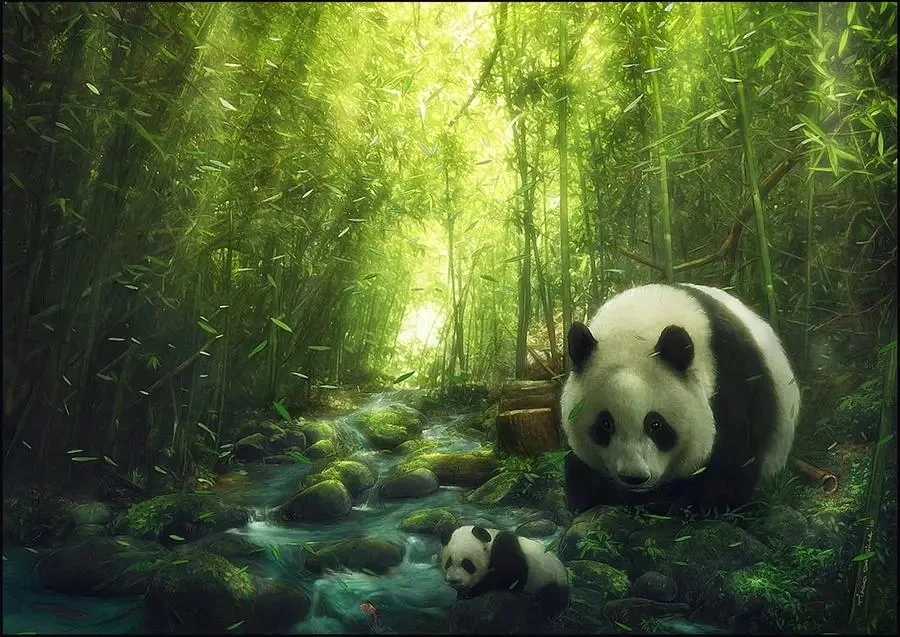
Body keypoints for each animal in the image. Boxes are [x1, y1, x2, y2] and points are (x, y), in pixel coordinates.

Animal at [440, 525, 570, 618]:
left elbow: (512, 574)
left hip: (550, 579)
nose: (454, 580)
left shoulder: (506, 546)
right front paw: (462, 594)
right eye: (448, 563)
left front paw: (471, 592)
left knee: (552, 599)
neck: (490, 545)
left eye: (467, 564)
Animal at [559, 283, 801, 515]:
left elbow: (732, 462)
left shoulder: (732, 375)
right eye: (605, 424)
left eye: (655, 424)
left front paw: (681, 502)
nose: (634, 477)